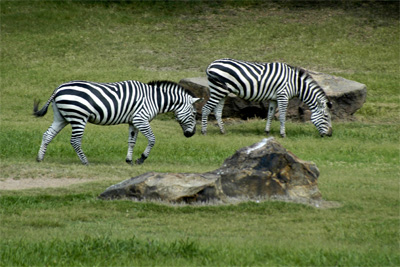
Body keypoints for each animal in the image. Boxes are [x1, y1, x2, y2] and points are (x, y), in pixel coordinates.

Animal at [33, 79, 202, 165]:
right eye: (194, 114)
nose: (192, 134)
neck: (154, 99)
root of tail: (58, 88)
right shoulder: (141, 119)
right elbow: (152, 139)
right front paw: (141, 158)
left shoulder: (134, 122)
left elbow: (132, 141)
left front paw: (129, 160)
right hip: (78, 117)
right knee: (74, 141)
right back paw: (85, 161)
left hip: (61, 117)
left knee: (47, 135)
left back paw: (40, 158)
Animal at [202, 59, 332, 138]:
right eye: (326, 116)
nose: (331, 134)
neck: (296, 84)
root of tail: (210, 65)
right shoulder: (283, 96)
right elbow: (282, 116)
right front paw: (283, 134)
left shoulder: (274, 99)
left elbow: (270, 115)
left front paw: (267, 132)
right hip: (218, 90)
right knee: (205, 109)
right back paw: (204, 132)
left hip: (222, 92)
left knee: (217, 111)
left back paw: (223, 131)